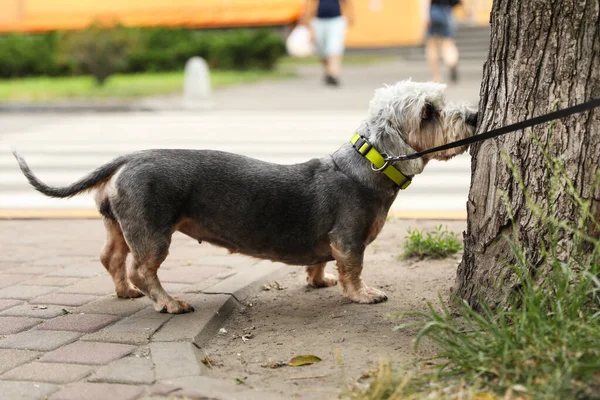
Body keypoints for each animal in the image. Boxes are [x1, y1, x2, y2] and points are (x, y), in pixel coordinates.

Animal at [12, 79, 478, 314]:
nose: (474, 116)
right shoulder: (348, 239)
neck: (368, 164)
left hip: (121, 225)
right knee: (144, 270)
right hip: (154, 231)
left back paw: (125, 291)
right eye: (428, 112)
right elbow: (352, 269)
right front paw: (362, 294)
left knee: (112, 259)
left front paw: (318, 281)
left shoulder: (325, 243)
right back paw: (168, 302)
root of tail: (130, 157)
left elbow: (318, 263)